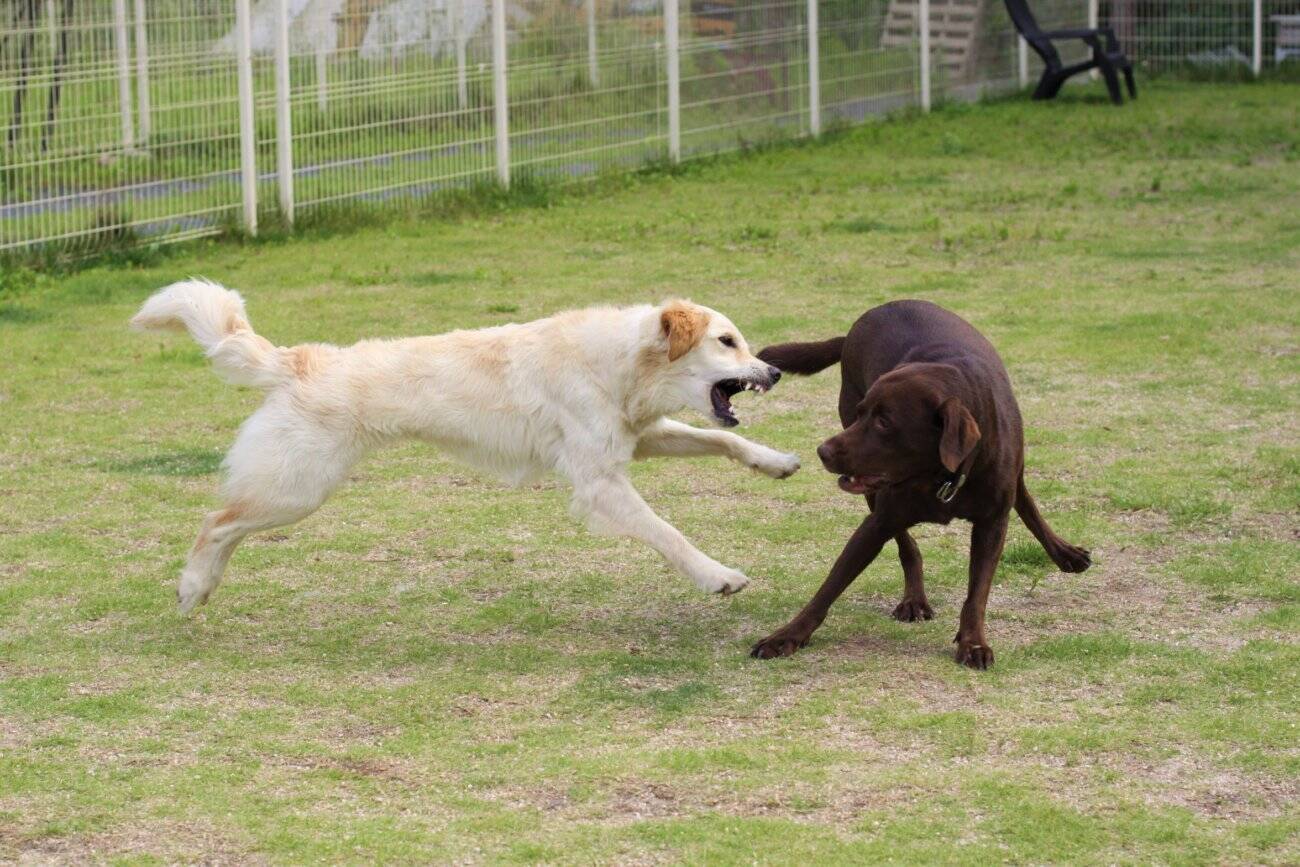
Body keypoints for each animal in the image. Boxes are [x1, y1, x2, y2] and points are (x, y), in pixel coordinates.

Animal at [134, 282, 800, 613]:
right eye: (727, 342)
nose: (773, 372)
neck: (619, 361)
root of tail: (297, 360)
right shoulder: (601, 483)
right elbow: (670, 534)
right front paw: (718, 576)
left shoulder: (638, 439)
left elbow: (721, 438)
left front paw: (775, 462)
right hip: (296, 488)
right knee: (216, 521)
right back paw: (192, 588)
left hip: (291, 489)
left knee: (226, 524)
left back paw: (203, 590)